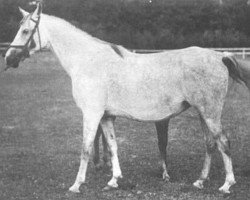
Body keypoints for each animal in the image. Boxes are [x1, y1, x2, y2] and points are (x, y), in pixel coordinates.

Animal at [4, 3, 250, 194]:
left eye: (26, 31)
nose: (8, 58)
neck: (88, 61)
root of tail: (219, 56)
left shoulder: (91, 114)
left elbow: (85, 148)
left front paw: (76, 185)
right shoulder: (106, 117)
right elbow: (113, 146)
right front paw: (114, 180)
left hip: (210, 113)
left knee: (223, 142)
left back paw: (227, 185)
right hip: (203, 113)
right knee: (210, 144)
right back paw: (199, 181)